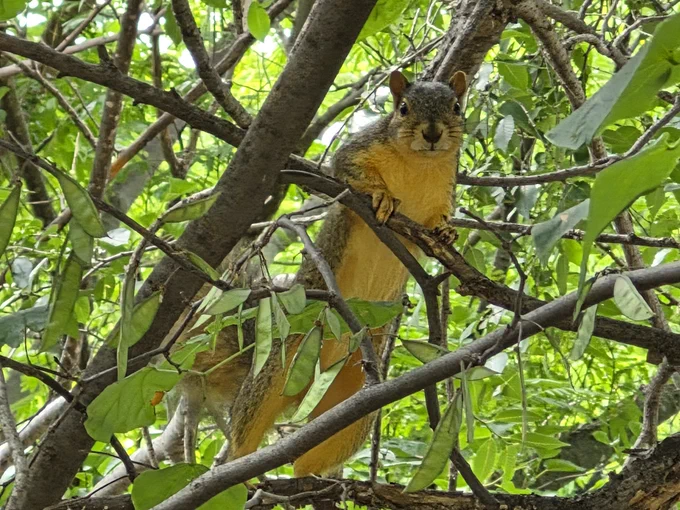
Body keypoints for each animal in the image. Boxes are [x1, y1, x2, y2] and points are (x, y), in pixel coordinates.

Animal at [187, 69, 467, 475]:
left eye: (456, 107)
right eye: (403, 108)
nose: (432, 133)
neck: (421, 164)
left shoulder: (443, 191)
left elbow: (437, 219)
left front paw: (446, 232)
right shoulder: (358, 150)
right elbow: (347, 168)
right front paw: (381, 195)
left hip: (353, 398)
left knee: (309, 454)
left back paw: (310, 479)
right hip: (279, 364)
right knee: (246, 425)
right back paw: (241, 468)